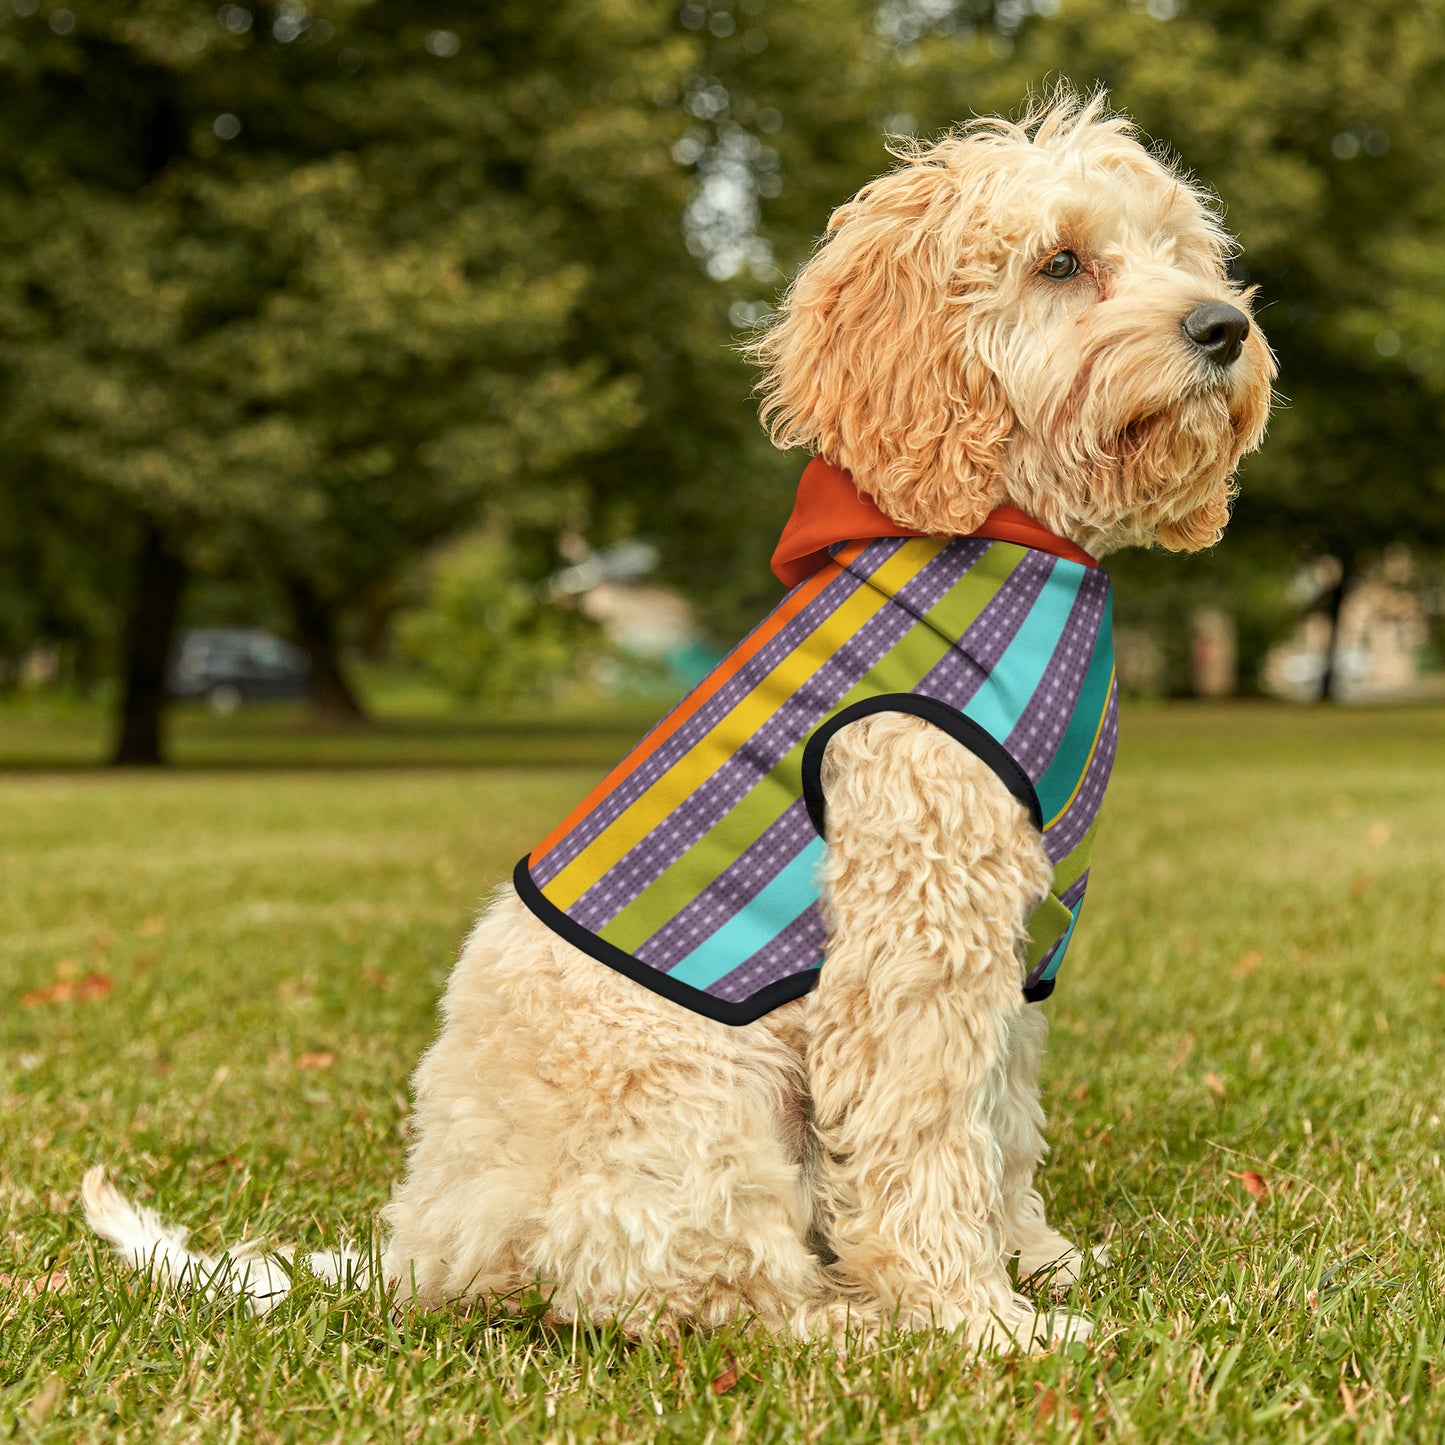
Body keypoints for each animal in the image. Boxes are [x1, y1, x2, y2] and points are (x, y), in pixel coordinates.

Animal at [84, 93, 1271, 1352]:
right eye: (1060, 262)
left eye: (1181, 252)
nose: (1222, 327)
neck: (1008, 535)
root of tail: (425, 1245)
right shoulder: (913, 935)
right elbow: (924, 1138)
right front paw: (976, 1318)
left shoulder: (1010, 945)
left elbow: (998, 1121)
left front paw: (1034, 1259)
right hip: (704, 1104)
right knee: (702, 1292)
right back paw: (852, 1322)